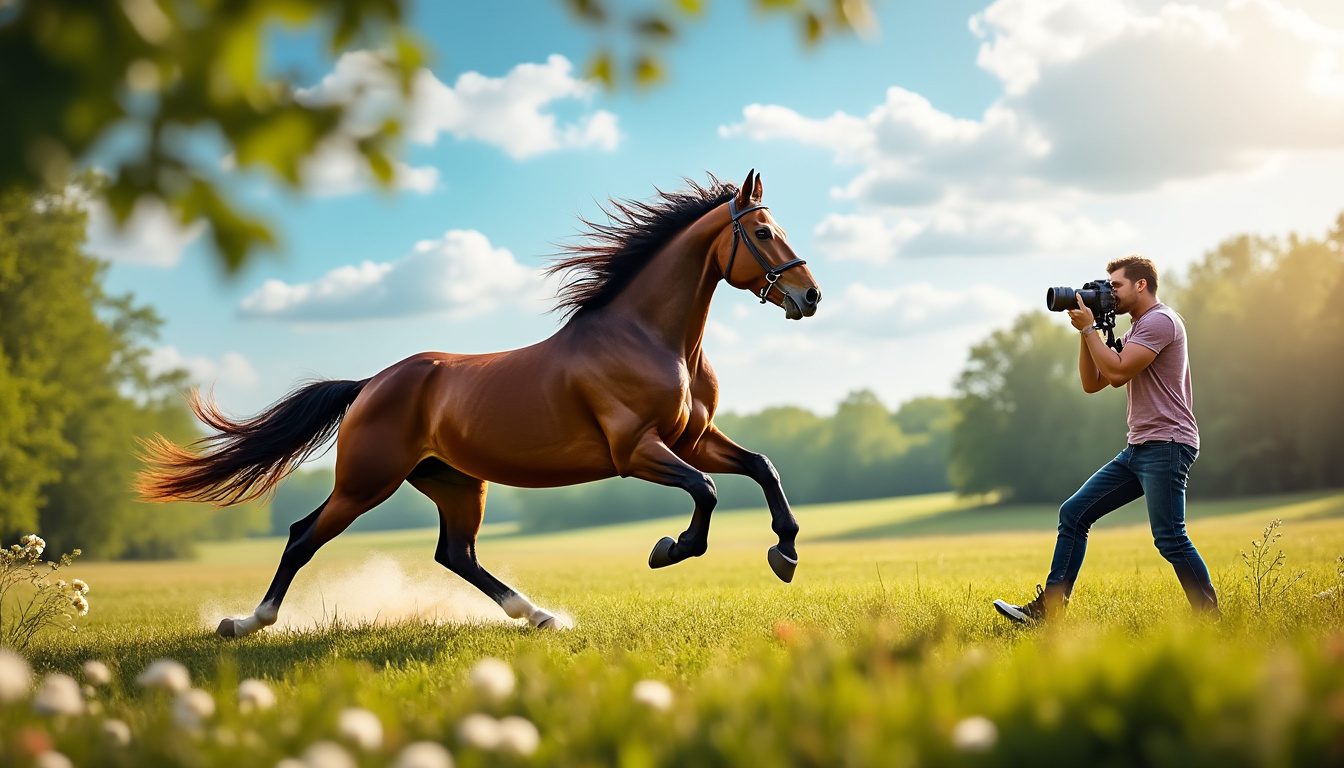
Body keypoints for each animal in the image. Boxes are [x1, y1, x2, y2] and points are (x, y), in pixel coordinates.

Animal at [137, 170, 822, 637]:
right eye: (762, 232)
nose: (810, 295)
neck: (650, 338)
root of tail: (370, 384)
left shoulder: (689, 439)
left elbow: (762, 467)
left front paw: (785, 553)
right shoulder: (637, 451)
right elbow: (707, 492)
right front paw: (669, 549)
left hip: (455, 482)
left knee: (455, 553)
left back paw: (539, 615)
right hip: (366, 483)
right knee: (303, 537)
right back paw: (246, 623)